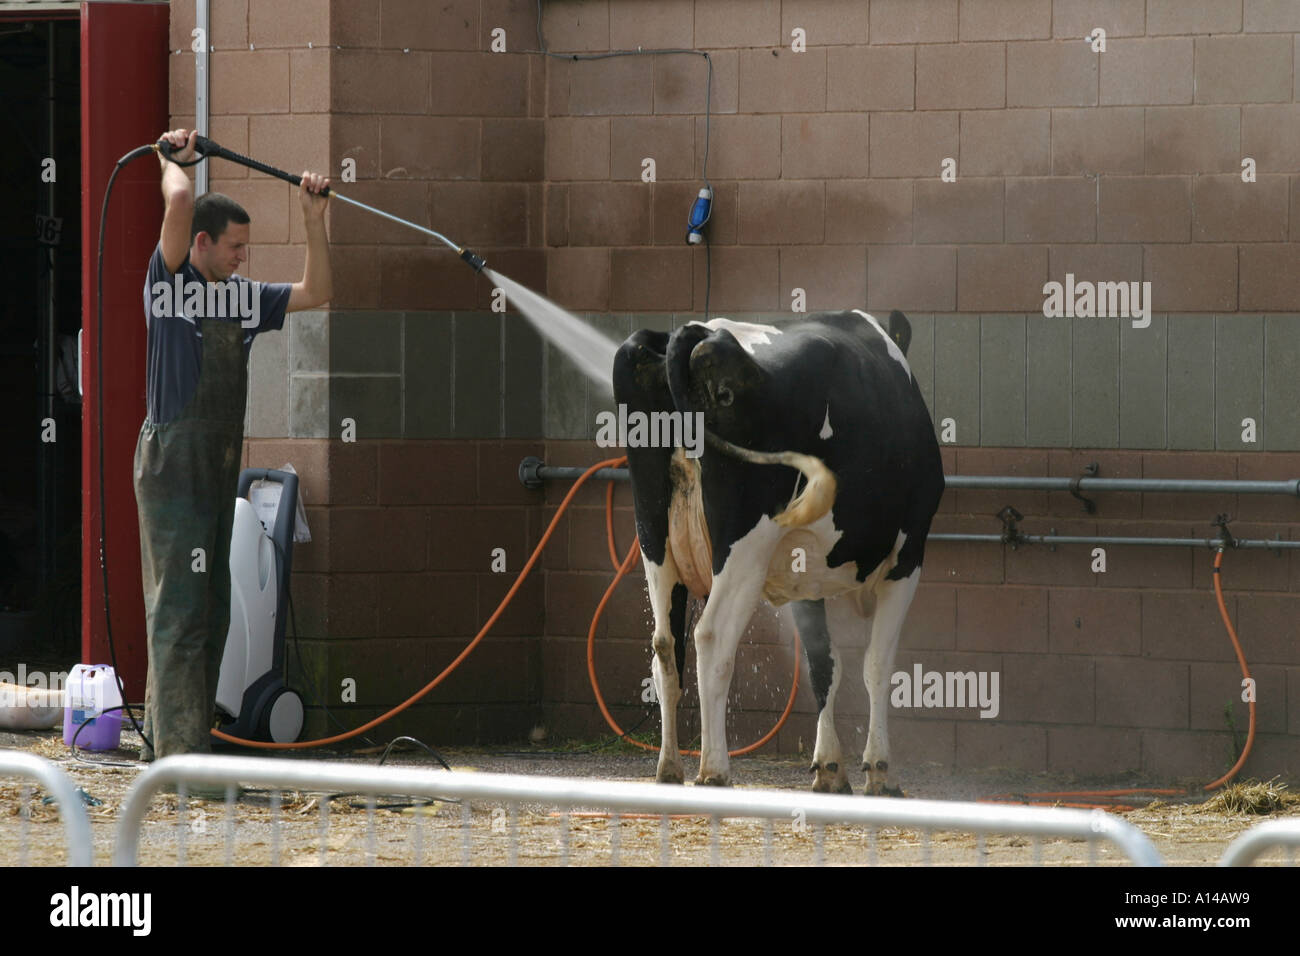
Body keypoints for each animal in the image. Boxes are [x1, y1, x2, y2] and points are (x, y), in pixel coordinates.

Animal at [613, 312, 941, 790]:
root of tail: (698, 331)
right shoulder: (909, 553)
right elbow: (877, 665)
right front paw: (879, 771)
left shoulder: (805, 571)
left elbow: (824, 665)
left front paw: (830, 768)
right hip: (745, 543)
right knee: (711, 637)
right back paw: (714, 769)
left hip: (654, 537)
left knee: (665, 646)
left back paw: (670, 768)